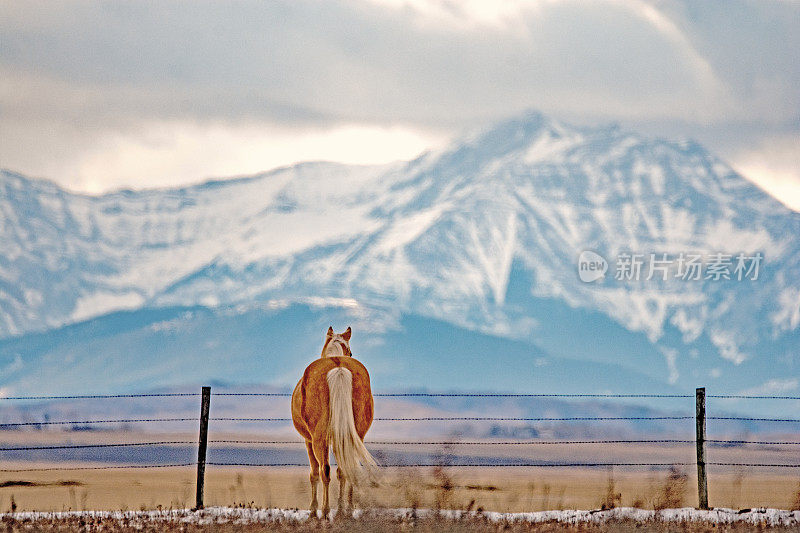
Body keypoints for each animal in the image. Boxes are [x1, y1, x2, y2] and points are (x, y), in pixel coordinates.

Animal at [290, 326, 378, 516]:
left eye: (350, 352)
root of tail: (338, 367)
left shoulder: (308, 440)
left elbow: (314, 473)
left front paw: (313, 509)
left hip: (319, 439)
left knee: (325, 470)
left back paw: (324, 511)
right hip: (354, 436)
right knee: (347, 468)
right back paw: (345, 510)